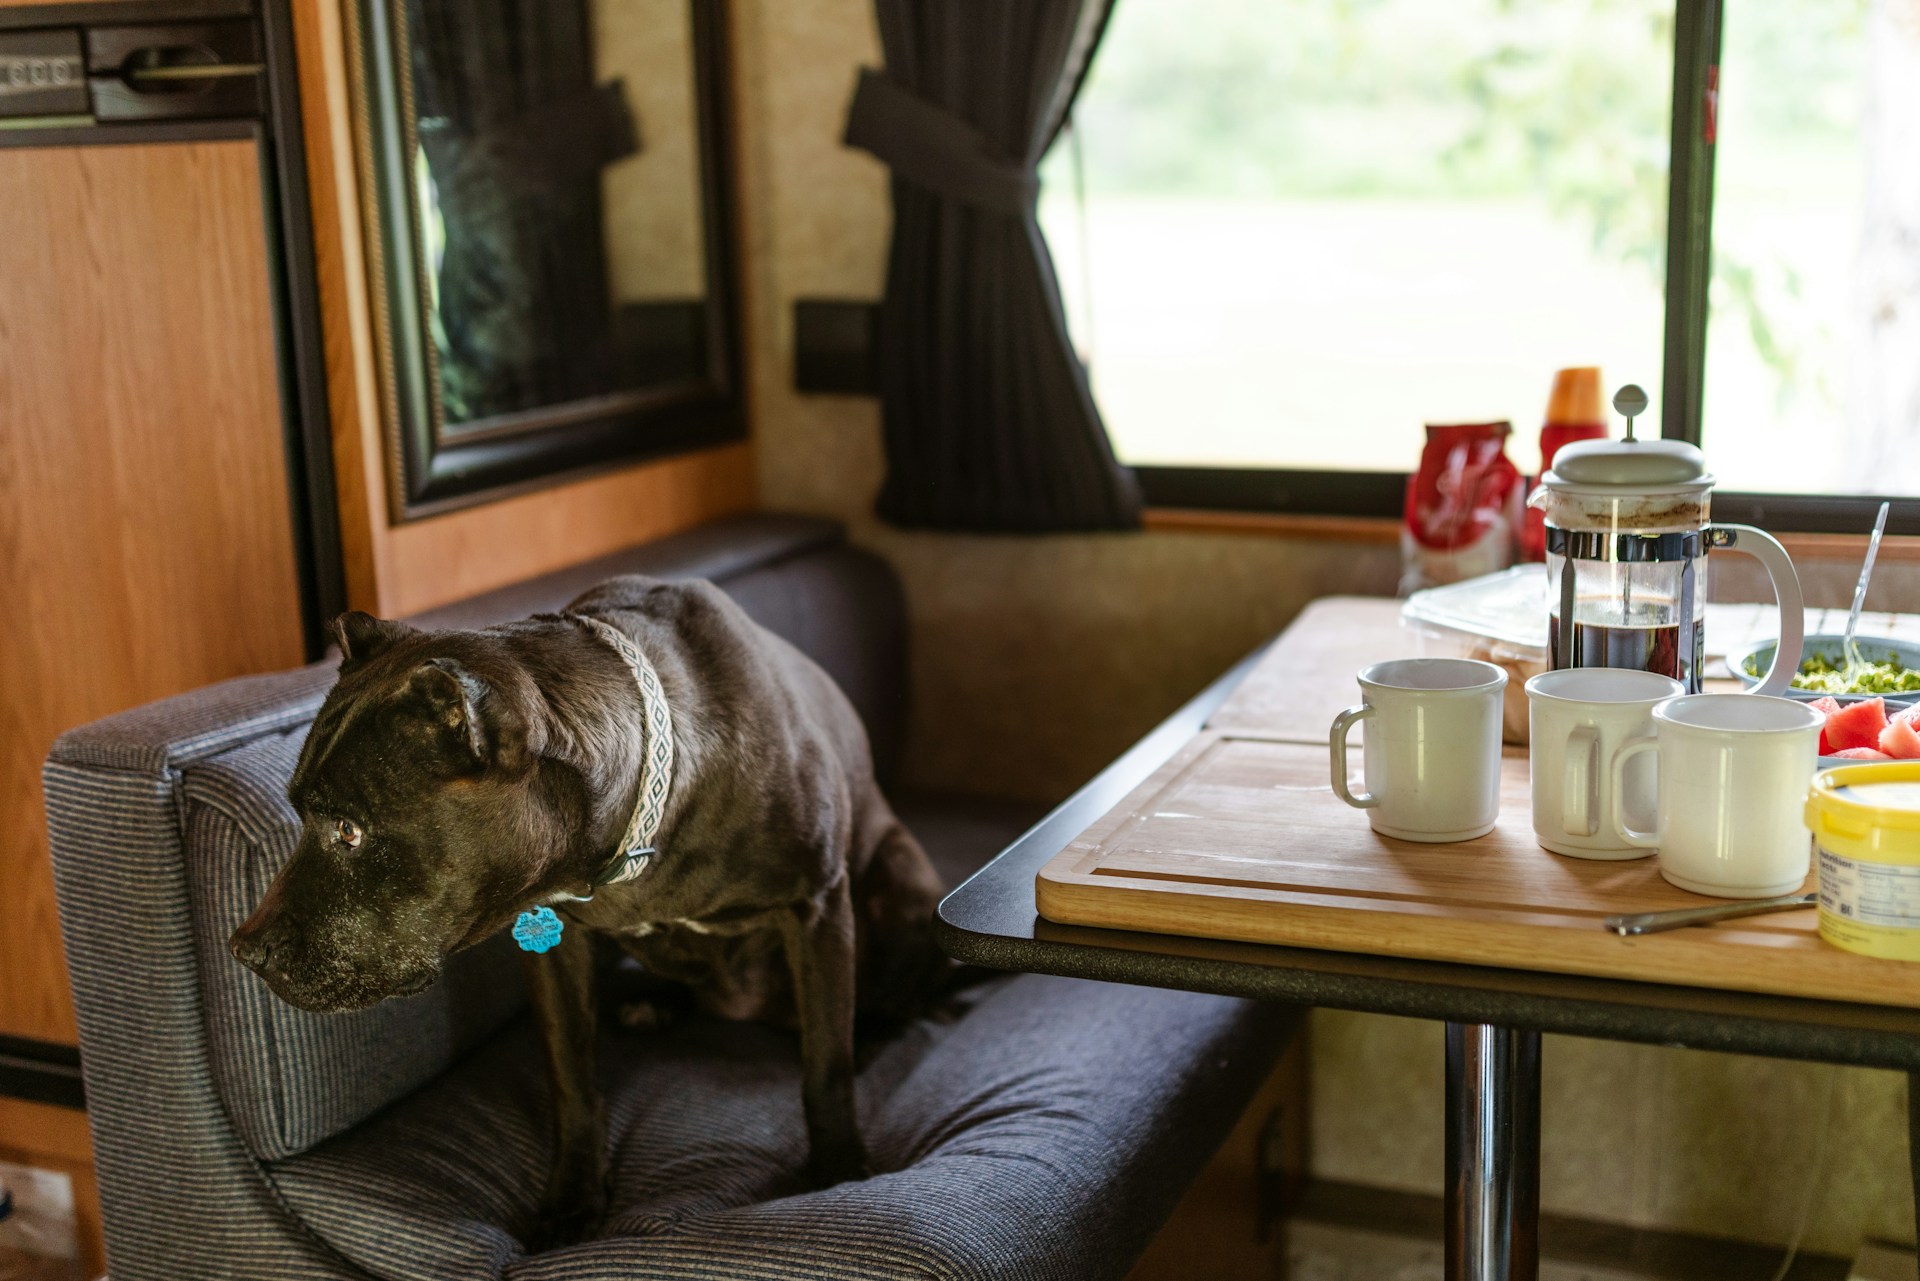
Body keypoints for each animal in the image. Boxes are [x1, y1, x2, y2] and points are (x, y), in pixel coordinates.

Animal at [229, 575, 949, 1241]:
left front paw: (839, 1169)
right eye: (299, 813)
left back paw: (877, 1024)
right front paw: (573, 1200)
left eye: (348, 830)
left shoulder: (817, 904)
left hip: (903, 884)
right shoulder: (556, 949)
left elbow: (825, 1068)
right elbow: (572, 1078)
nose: (243, 948)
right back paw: (654, 1003)